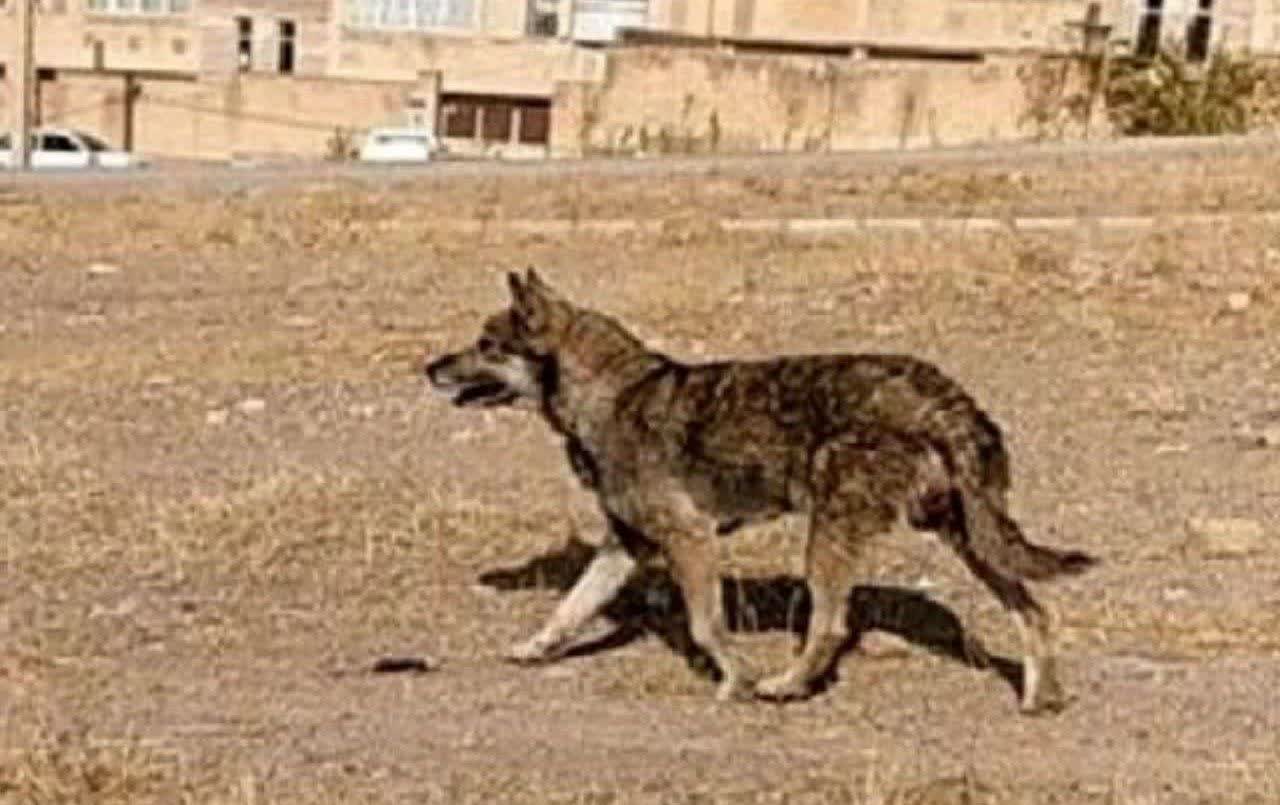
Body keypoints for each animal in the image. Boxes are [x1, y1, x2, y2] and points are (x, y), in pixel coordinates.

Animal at [424, 268, 1095, 711]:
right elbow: (568, 608)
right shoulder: (625, 547)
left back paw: (786, 684)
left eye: (487, 346)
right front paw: (534, 647)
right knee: (1033, 608)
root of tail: (942, 395)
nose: (429, 367)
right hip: (969, 536)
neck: (611, 394)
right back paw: (1042, 695)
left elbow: (705, 626)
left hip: (832, 536)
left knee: (830, 626)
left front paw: (737, 682)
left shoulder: (691, 541)